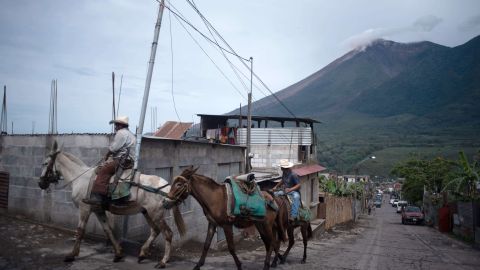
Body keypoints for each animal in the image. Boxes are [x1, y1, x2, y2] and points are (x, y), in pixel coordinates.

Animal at [38, 141, 186, 268]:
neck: (80, 177)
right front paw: (118, 253)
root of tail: (168, 188)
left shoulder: (84, 208)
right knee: (155, 231)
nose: (40, 183)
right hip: (147, 212)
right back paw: (142, 254)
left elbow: (80, 231)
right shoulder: (98, 210)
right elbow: (108, 230)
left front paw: (72, 255)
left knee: (168, 234)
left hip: (156, 214)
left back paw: (163, 261)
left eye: (45, 163)